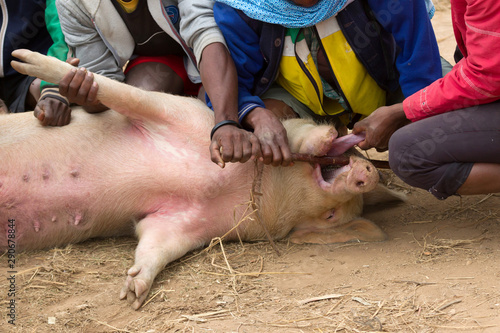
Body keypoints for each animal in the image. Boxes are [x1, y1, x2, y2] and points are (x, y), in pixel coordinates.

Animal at [0, 49, 404, 308]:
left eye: (332, 216)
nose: (369, 173)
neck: (235, 184)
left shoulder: (183, 224)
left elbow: (155, 247)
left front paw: (132, 293)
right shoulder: (176, 110)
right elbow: (118, 92)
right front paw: (25, 59)